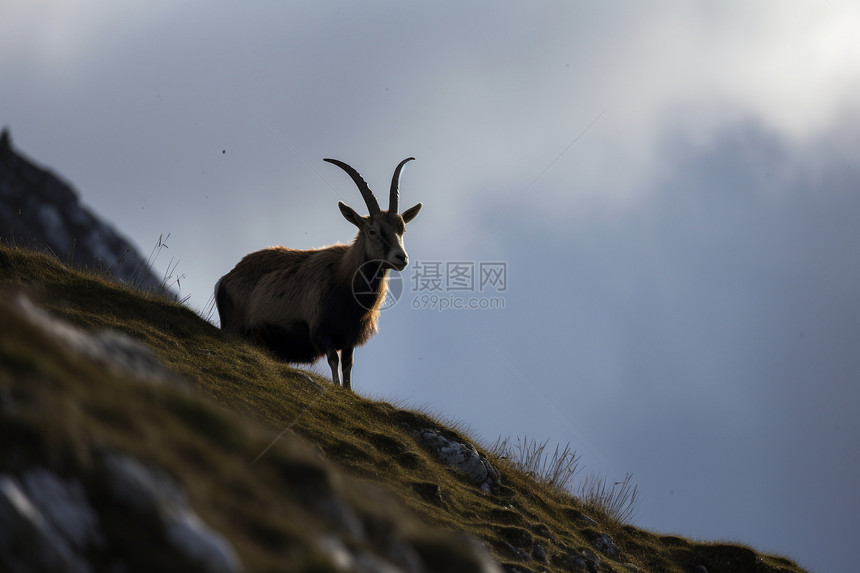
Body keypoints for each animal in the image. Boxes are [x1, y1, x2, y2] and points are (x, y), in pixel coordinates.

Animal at [212, 156, 420, 388]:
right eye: (372, 230)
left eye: (401, 229)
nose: (401, 257)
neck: (342, 275)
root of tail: (226, 279)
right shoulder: (322, 333)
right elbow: (333, 360)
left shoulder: (349, 337)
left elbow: (347, 365)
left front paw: (346, 391)